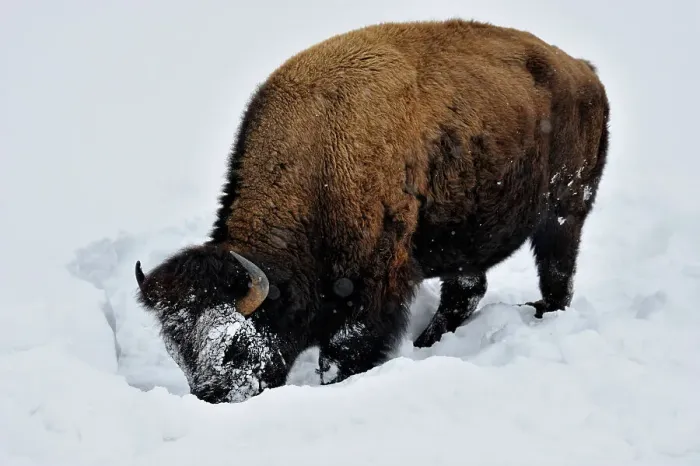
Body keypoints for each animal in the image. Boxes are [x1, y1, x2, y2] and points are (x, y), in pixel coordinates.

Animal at [135, 19, 610, 403]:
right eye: (178, 352)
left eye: (234, 345)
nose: (212, 398)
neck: (318, 158)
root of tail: (583, 70)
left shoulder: (374, 284)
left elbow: (344, 350)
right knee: (467, 289)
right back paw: (428, 342)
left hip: (565, 211)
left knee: (557, 272)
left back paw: (542, 312)